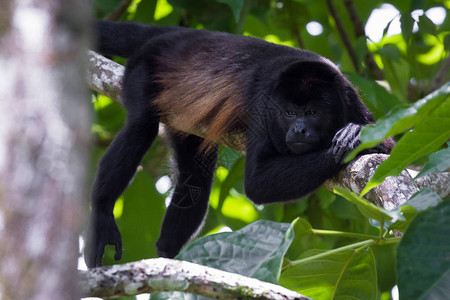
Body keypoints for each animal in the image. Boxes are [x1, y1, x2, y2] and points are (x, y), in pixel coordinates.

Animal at [85, 20, 394, 268]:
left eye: (312, 112)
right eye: (289, 112)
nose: (299, 129)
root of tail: (177, 35)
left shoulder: (349, 98)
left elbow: (392, 152)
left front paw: (361, 137)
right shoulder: (264, 105)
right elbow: (257, 182)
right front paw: (352, 142)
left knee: (194, 179)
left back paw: (168, 254)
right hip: (145, 67)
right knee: (140, 126)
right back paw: (102, 210)